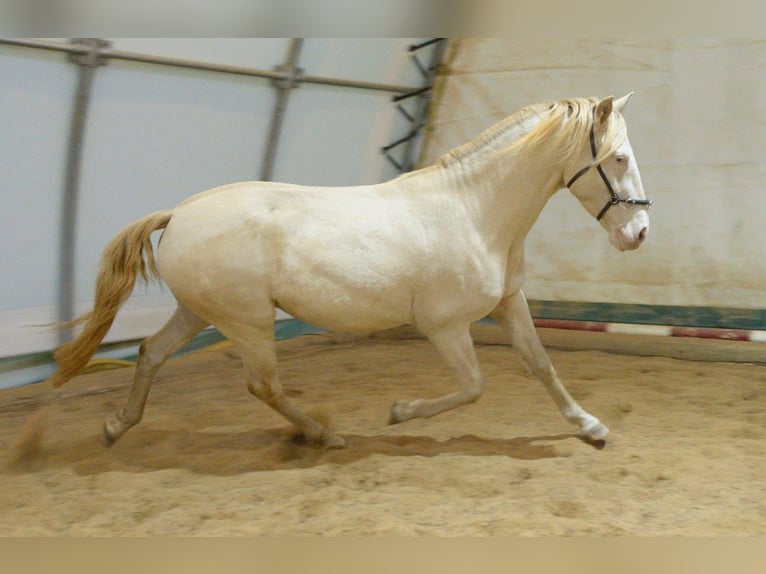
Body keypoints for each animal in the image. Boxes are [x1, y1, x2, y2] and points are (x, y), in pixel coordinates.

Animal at [46, 93, 651, 449]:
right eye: (619, 157)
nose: (639, 234)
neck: (475, 211)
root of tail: (179, 213)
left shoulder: (508, 303)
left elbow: (542, 365)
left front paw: (591, 428)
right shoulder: (445, 326)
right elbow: (474, 387)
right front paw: (401, 412)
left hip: (199, 313)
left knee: (152, 353)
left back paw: (116, 426)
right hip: (247, 321)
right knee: (262, 383)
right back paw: (323, 434)